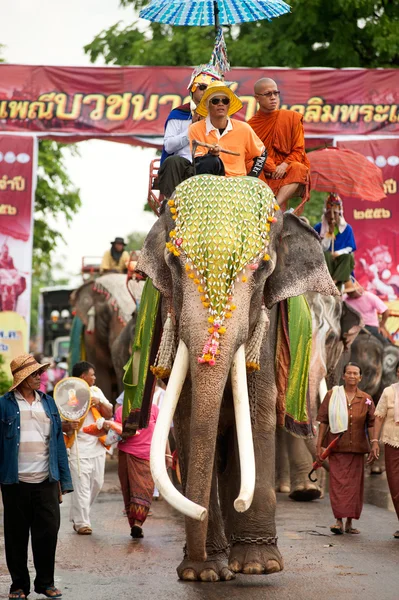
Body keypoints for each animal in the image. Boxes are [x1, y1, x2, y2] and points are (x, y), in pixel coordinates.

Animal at [135, 175, 338, 580]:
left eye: (263, 267)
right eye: (172, 262)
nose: (195, 510)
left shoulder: (268, 326)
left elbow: (257, 415)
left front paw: (259, 567)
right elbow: (188, 419)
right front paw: (203, 574)